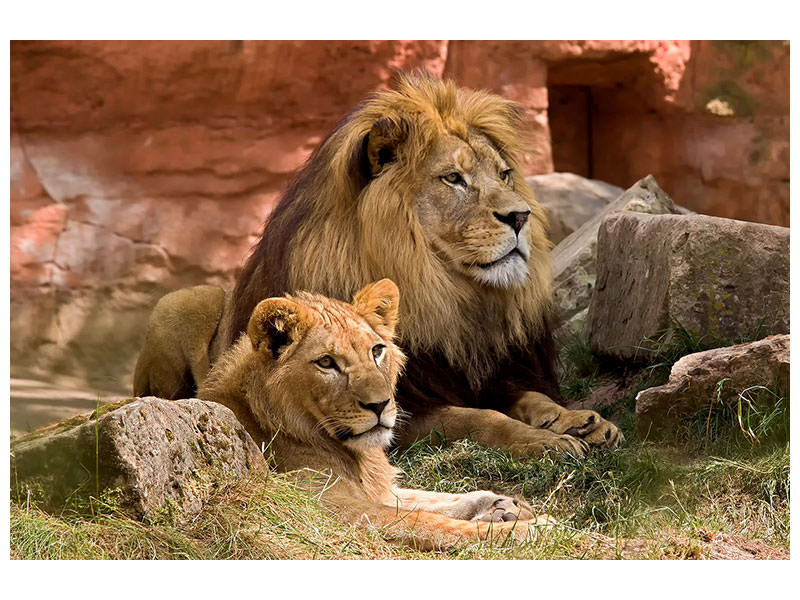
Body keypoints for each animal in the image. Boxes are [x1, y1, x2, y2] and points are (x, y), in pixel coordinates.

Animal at [198, 278, 554, 550]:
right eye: (326, 362)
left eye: (376, 350)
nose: (381, 404)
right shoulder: (324, 509)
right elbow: (425, 521)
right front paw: (529, 529)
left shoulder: (377, 489)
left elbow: (429, 499)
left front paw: (502, 505)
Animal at [224, 72, 622, 456]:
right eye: (454, 178)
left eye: (504, 174)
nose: (521, 216)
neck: (444, 297)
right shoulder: (398, 412)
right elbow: (481, 418)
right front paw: (544, 440)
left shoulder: (491, 375)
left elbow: (533, 397)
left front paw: (578, 420)